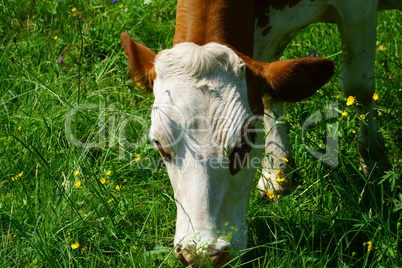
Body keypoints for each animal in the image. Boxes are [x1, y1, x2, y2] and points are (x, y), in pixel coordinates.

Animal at [121, 0, 400, 266]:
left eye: (245, 144)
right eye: (159, 144)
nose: (203, 254)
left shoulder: (358, 9)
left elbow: (359, 86)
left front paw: (375, 161)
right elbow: (269, 92)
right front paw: (277, 169)